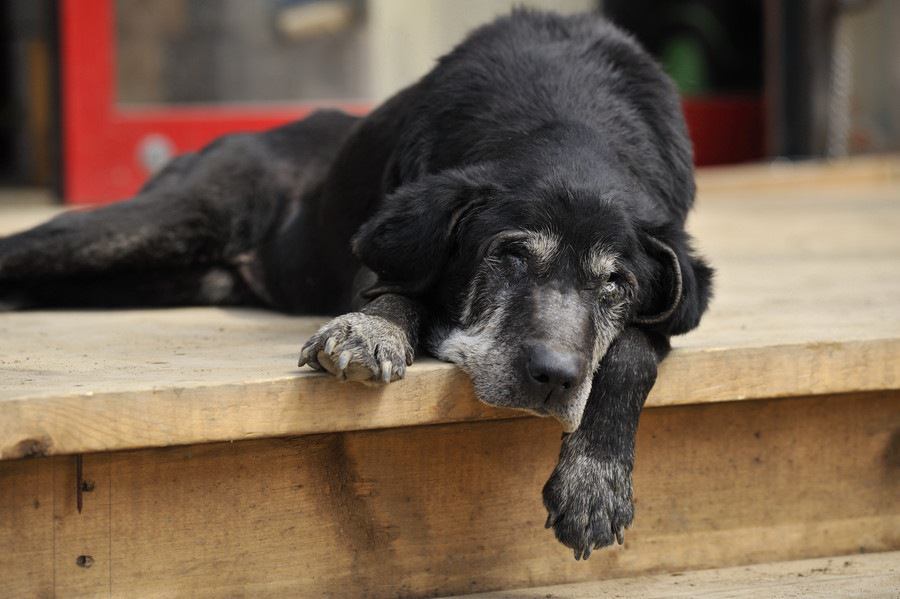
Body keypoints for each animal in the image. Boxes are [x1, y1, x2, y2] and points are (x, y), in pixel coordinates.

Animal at [1, 11, 716, 560]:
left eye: (616, 284)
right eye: (511, 257)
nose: (555, 378)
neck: (569, 112)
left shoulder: (665, 304)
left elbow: (628, 355)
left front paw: (594, 483)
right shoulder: (384, 246)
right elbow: (396, 291)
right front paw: (370, 334)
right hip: (172, 217)